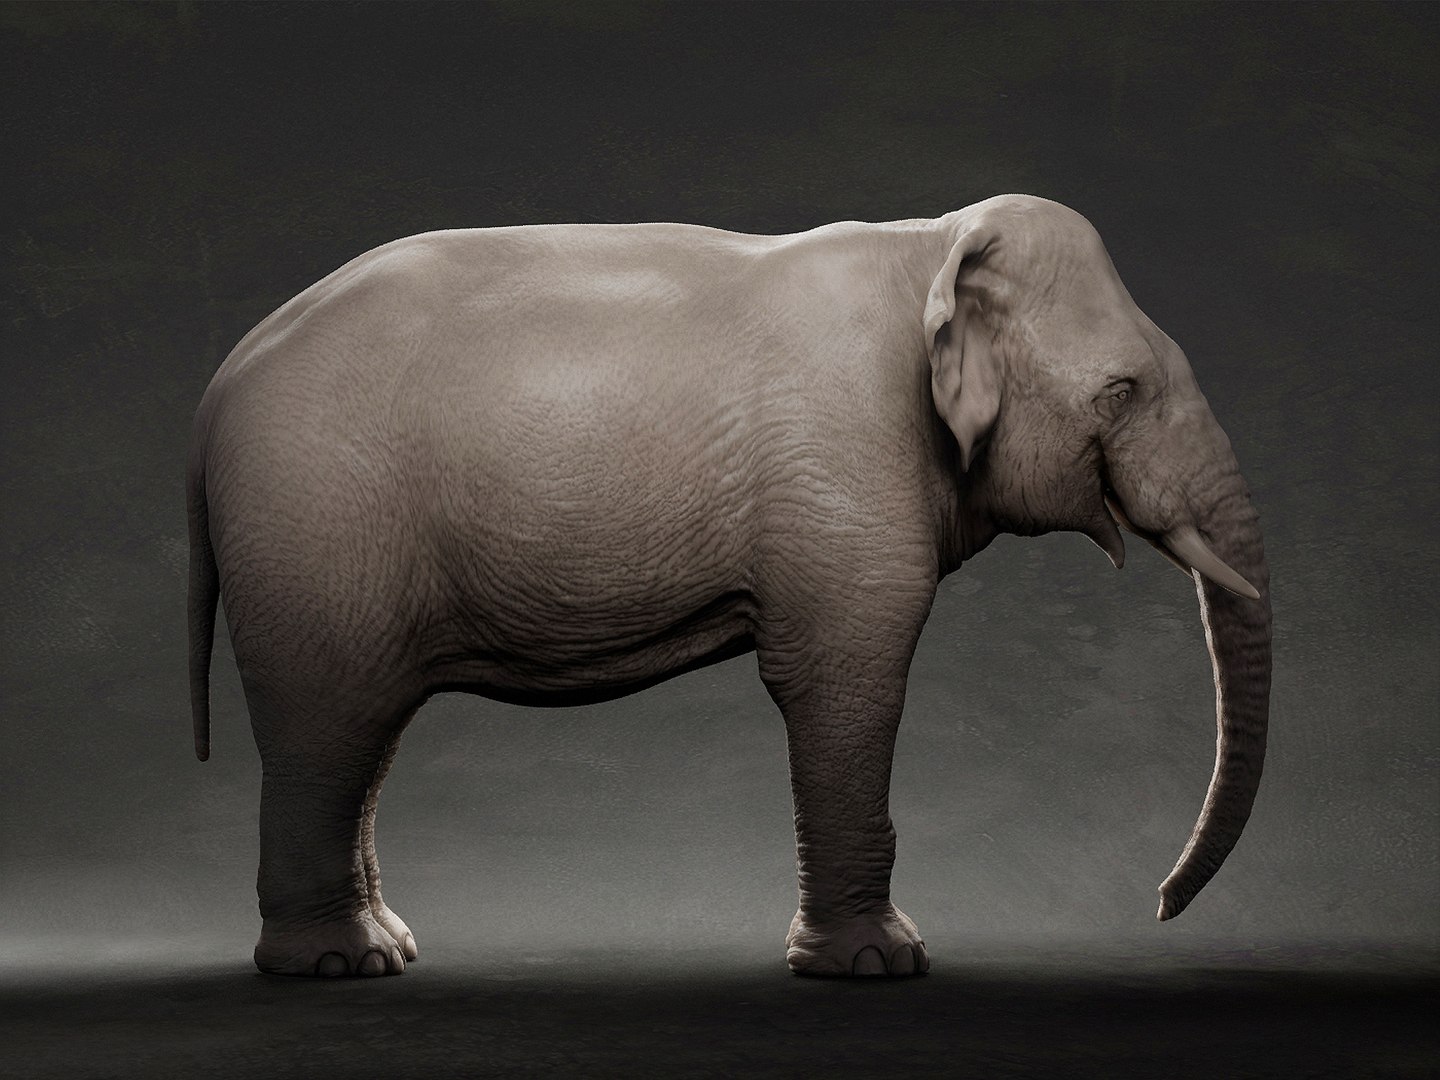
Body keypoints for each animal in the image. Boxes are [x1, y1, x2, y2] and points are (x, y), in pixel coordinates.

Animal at [187, 194, 1271, 979]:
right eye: (1122, 393)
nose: (1158, 905)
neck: (927, 248)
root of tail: (220, 382)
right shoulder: (845, 476)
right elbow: (846, 685)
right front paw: (880, 964)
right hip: (318, 531)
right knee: (328, 726)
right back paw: (333, 966)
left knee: (363, 738)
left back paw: (385, 951)